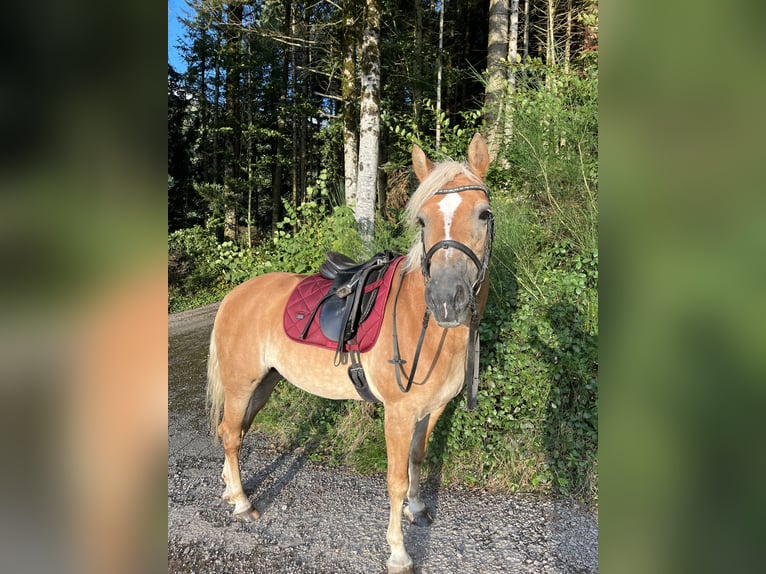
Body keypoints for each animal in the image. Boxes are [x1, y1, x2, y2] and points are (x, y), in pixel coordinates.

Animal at [208, 134, 498, 572]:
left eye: (483, 214)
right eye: (422, 221)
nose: (447, 300)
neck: (426, 327)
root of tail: (234, 295)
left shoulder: (431, 410)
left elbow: (417, 459)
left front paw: (417, 509)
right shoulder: (398, 413)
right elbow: (396, 480)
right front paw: (398, 552)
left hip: (263, 385)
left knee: (234, 430)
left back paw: (229, 489)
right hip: (242, 383)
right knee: (229, 434)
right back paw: (242, 503)